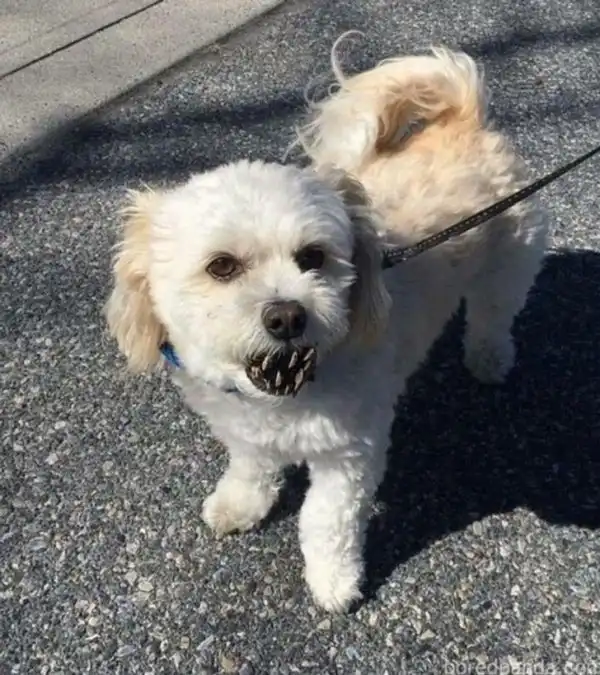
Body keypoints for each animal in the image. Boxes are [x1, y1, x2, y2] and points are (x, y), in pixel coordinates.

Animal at [105, 45, 548, 612]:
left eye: (312, 257)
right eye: (221, 266)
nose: (287, 315)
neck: (280, 390)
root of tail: (465, 115)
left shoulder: (349, 453)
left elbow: (325, 521)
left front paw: (333, 581)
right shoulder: (243, 430)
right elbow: (250, 467)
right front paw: (239, 503)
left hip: (509, 262)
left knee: (494, 315)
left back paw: (488, 359)